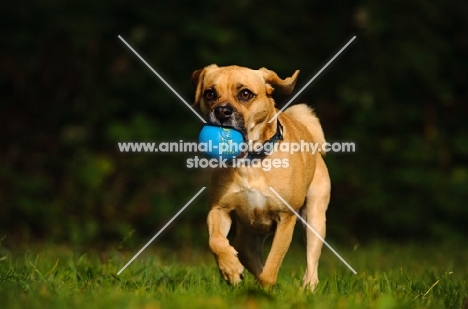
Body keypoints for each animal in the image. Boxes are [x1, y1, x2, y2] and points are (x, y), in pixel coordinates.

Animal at [190, 64, 330, 288]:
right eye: (210, 93)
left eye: (245, 94)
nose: (221, 111)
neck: (250, 162)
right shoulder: (218, 210)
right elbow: (216, 242)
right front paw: (230, 269)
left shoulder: (285, 219)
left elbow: (272, 264)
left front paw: (265, 288)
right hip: (248, 237)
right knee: (249, 256)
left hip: (314, 218)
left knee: (311, 262)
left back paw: (307, 287)